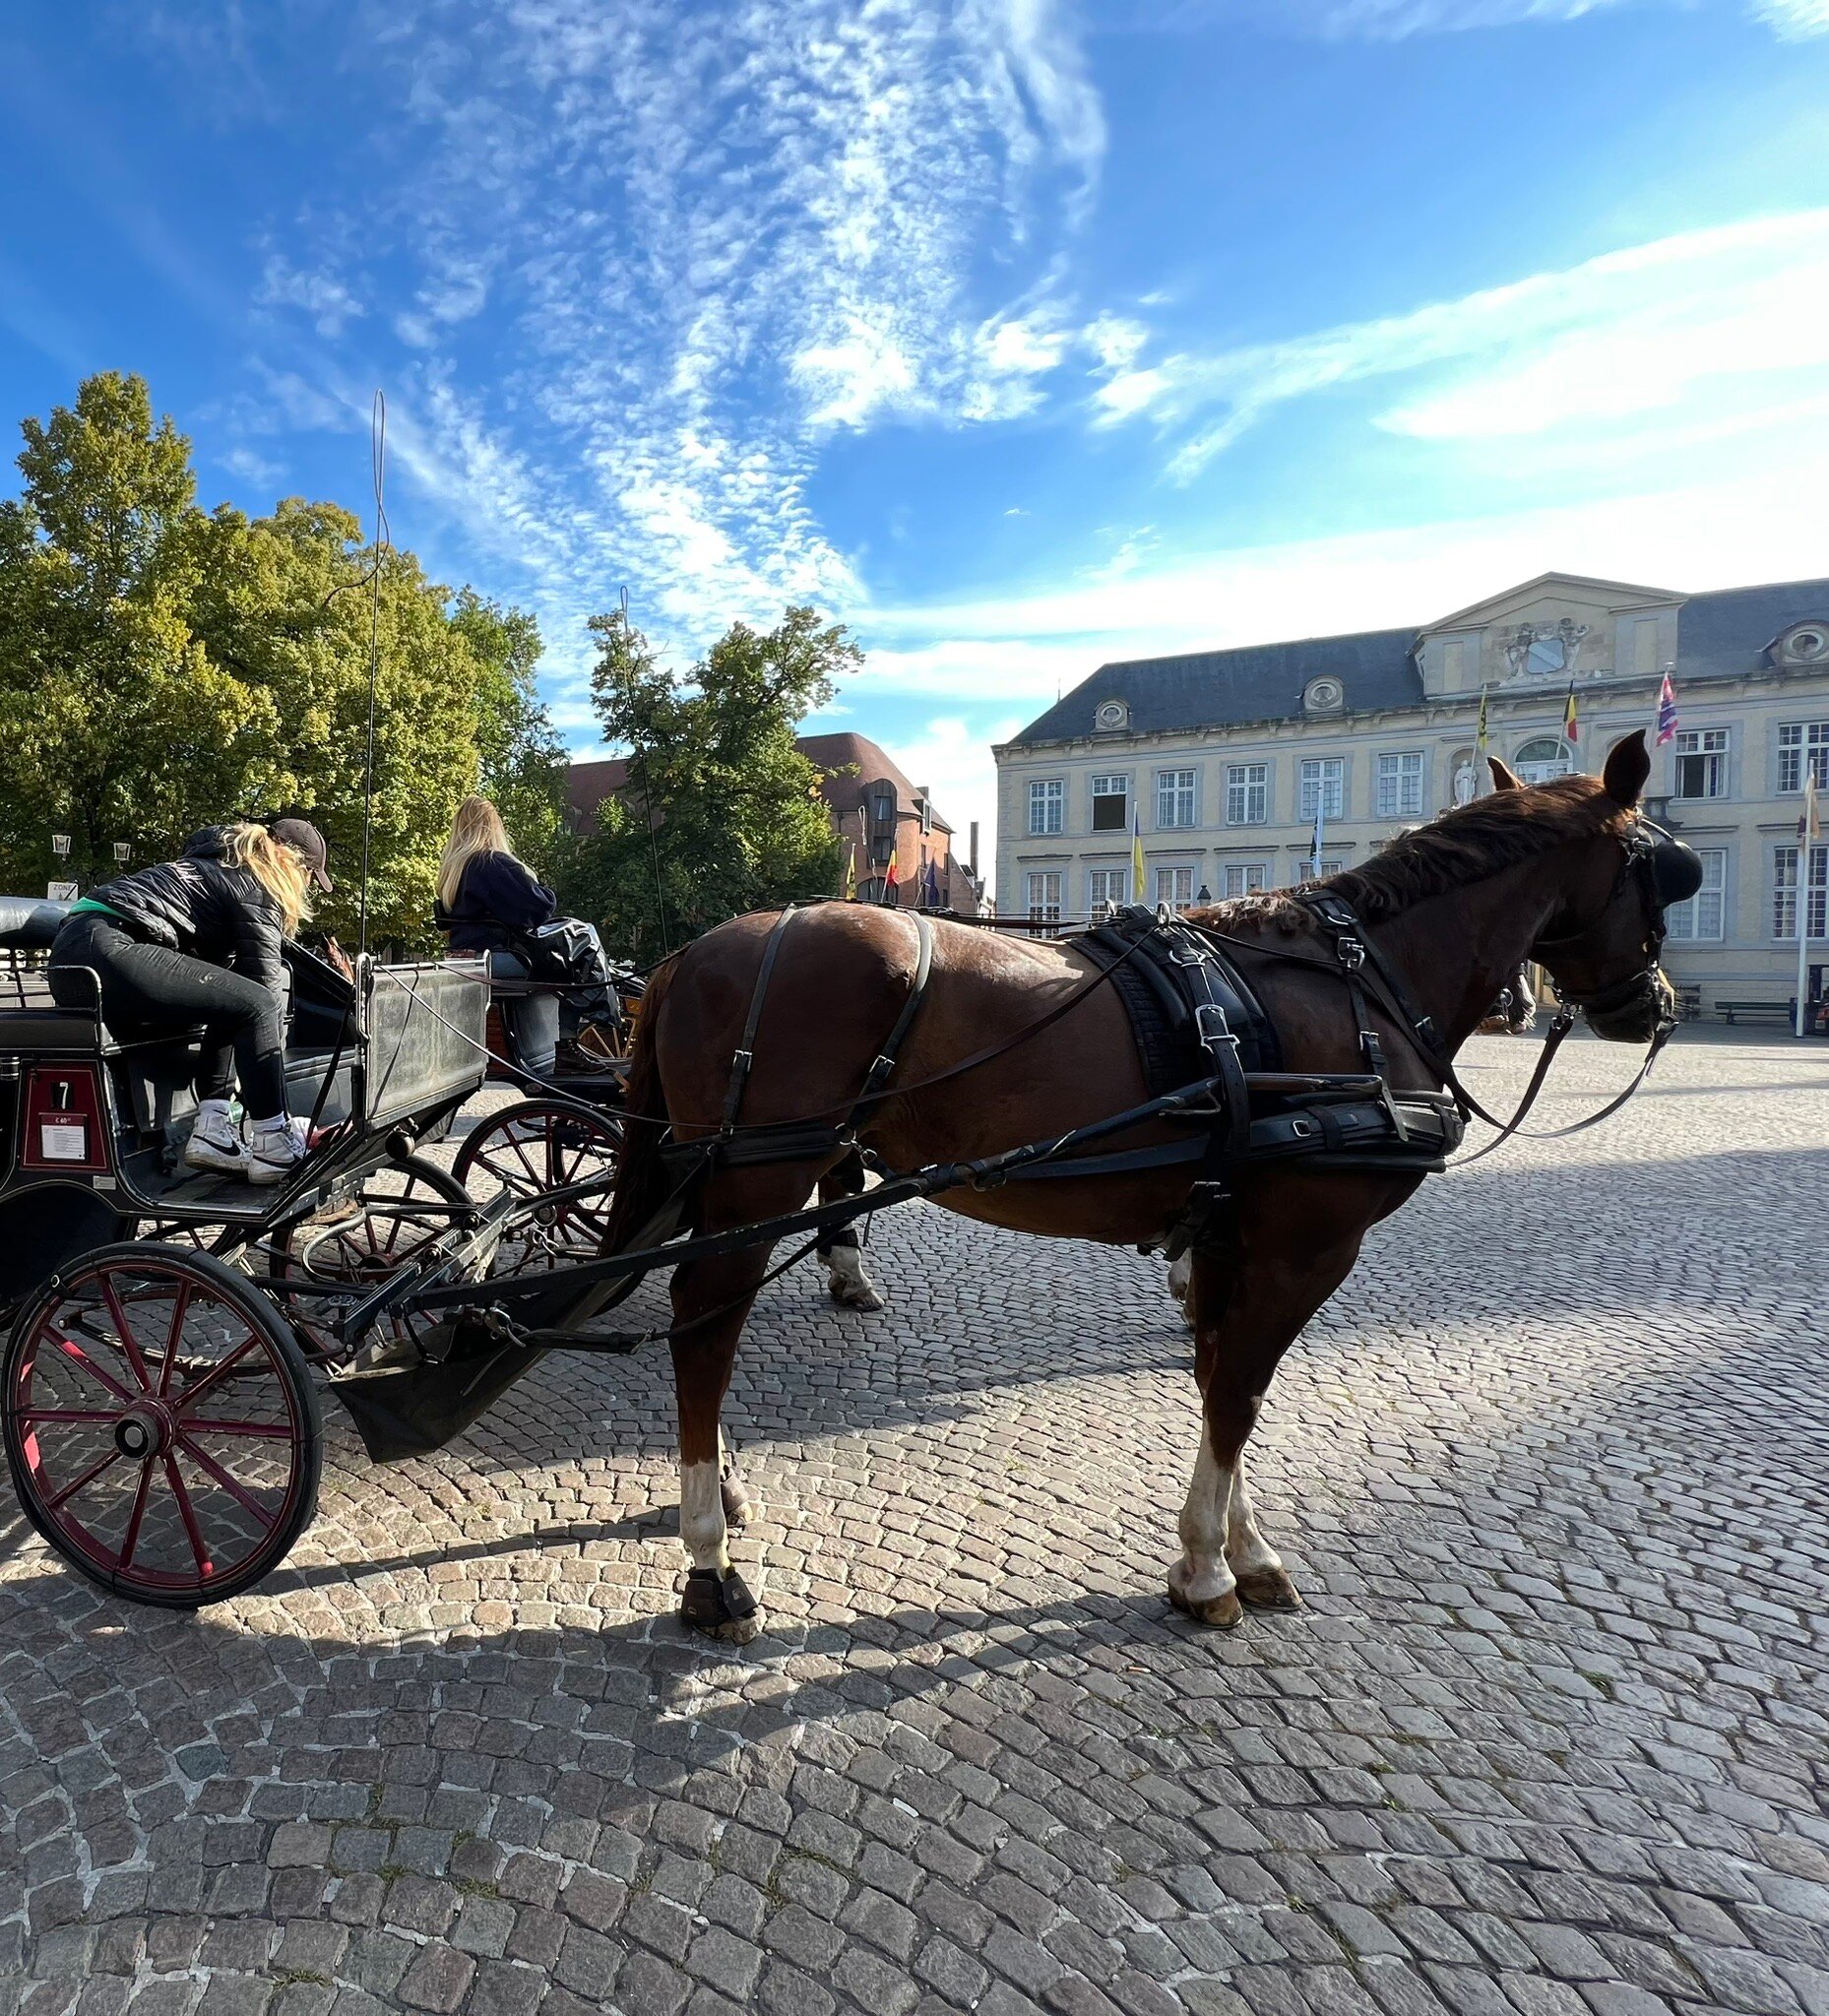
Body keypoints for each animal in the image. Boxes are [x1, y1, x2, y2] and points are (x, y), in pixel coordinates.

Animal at [612, 733, 1685, 1645]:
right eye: (1667, 873)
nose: (1657, 1009)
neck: (1357, 989)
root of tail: (687, 951)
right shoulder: (1305, 1246)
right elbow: (1241, 1392)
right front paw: (1208, 1569)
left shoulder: (1223, 1234)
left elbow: (1216, 1378)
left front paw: (1242, 1550)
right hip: (758, 1183)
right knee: (703, 1333)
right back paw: (711, 1566)